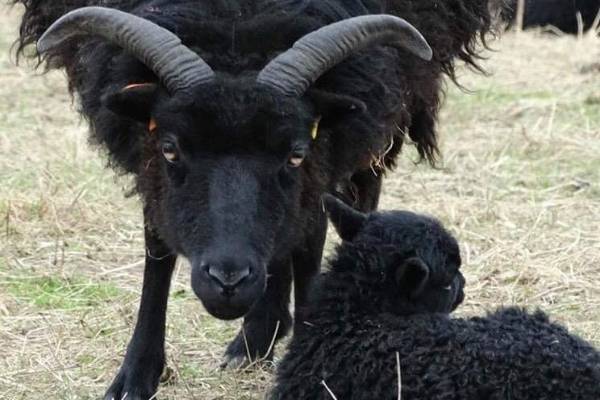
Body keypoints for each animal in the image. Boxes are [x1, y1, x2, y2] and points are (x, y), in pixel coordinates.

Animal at [10, 1, 496, 398]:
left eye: (295, 154)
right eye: (170, 149)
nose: (228, 281)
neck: (239, 24)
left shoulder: (332, 146)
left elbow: (308, 239)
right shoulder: (146, 157)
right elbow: (157, 246)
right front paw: (135, 376)